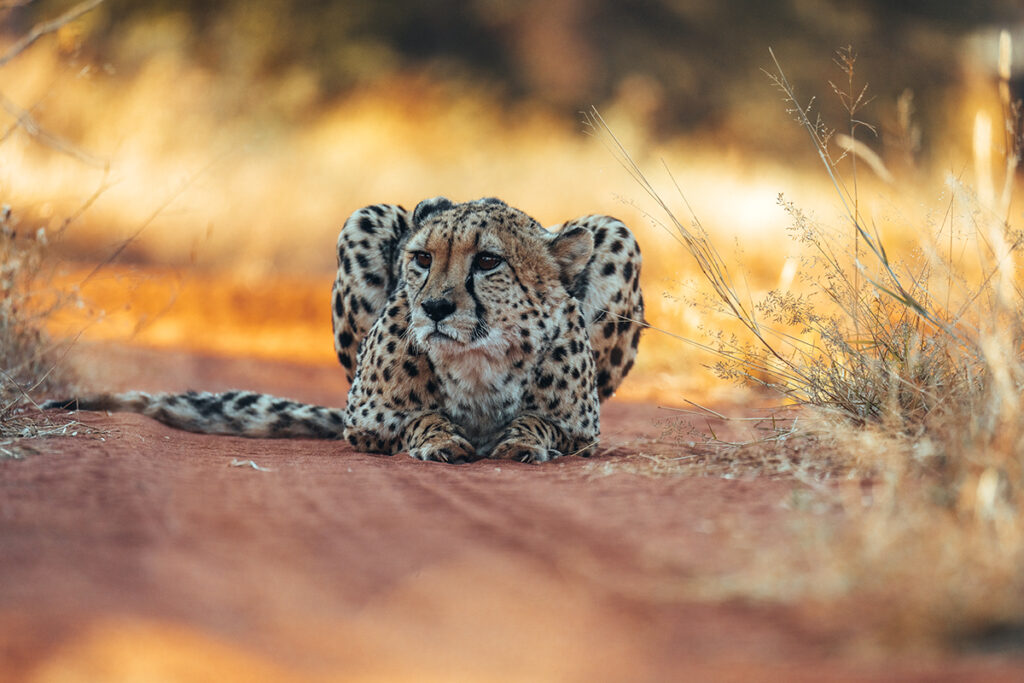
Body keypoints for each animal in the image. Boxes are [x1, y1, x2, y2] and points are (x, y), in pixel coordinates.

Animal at [48, 197, 643, 464]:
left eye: (489, 261)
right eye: (422, 259)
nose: (434, 307)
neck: (479, 359)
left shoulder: (583, 429)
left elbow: (542, 423)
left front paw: (519, 438)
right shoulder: (365, 417)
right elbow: (415, 418)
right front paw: (440, 436)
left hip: (616, 232)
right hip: (366, 217)